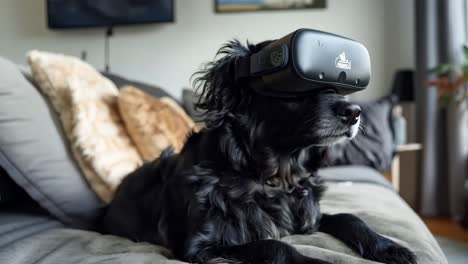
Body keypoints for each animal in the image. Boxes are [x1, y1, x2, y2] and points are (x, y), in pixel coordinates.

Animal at [100, 40, 414, 262]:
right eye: (295, 84)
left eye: (339, 86)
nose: (355, 112)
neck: (274, 177)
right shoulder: (201, 246)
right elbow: (274, 246)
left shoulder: (308, 217)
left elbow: (350, 217)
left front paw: (389, 247)